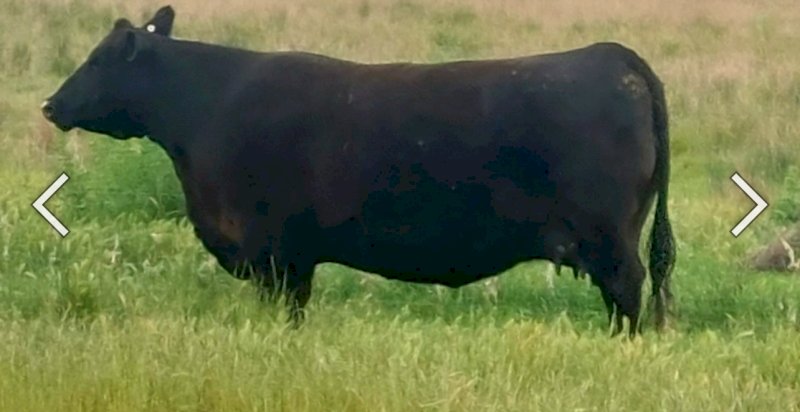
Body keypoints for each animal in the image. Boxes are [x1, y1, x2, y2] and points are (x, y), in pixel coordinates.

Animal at [42, 6, 676, 336]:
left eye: (97, 62)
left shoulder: (272, 249)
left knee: (628, 291)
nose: (50, 105)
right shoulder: (294, 254)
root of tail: (613, 55)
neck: (208, 107)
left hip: (610, 238)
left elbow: (283, 309)